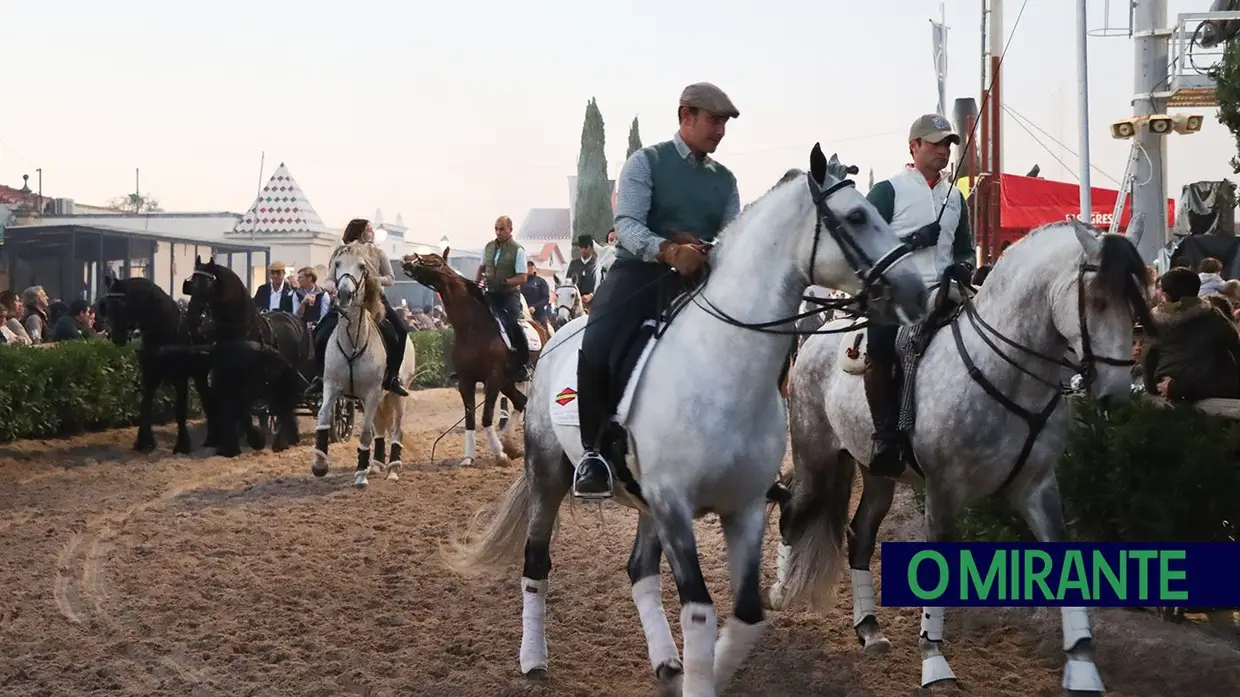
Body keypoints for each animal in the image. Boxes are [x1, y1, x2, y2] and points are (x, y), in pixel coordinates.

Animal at [98, 275, 217, 454]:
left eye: (121, 305)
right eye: (108, 307)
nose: (116, 338)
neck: (166, 332)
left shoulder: (181, 379)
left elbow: (180, 411)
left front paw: (182, 444)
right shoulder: (150, 377)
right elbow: (145, 407)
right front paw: (144, 441)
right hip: (201, 374)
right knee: (208, 399)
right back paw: (212, 437)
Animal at [184, 255, 314, 458]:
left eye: (208, 285)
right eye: (192, 284)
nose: (192, 318)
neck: (242, 331)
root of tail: (299, 321)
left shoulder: (249, 378)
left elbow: (241, 407)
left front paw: (255, 439)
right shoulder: (225, 374)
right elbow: (228, 405)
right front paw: (228, 446)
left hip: (291, 375)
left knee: (286, 404)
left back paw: (280, 442)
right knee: (282, 405)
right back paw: (290, 438)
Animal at [401, 249, 543, 466]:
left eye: (435, 260)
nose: (407, 259)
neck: (473, 328)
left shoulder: (493, 380)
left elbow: (486, 417)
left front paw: (499, 454)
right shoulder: (466, 381)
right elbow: (470, 417)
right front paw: (469, 457)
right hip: (508, 383)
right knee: (521, 402)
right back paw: (511, 445)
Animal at [441, 145, 931, 697]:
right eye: (857, 217)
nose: (917, 291)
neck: (721, 366)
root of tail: (559, 336)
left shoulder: (742, 508)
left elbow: (746, 615)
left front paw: (707, 673)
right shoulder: (675, 506)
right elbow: (699, 612)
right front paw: (701, 676)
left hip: (644, 500)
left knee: (639, 570)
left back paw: (666, 663)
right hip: (549, 473)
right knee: (536, 562)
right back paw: (533, 659)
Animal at [769, 219, 1152, 695]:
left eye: (1136, 302)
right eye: (1097, 300)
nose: (1117, 395)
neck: (1005, 372)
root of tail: (815, 342)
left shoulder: (1038, 487)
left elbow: (1067, 563)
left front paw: (1082, 662)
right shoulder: (943, 491)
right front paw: (934, 662)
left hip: (877, 473)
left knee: (861, 535)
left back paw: (869, 628)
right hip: (816, 458)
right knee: (792, 510)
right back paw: (780, 590)